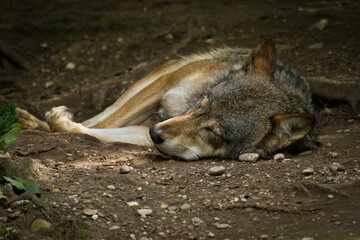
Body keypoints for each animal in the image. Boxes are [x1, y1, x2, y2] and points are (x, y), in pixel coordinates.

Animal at [14, 39, 318, 160]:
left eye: (214, 132)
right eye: (202, 104)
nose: (155, 134)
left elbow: (93, 131)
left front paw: (62, 124)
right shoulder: (163, 88)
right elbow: (101, 123)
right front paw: (53, 121)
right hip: (153, 80)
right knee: (102, 114)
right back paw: (31, 120)